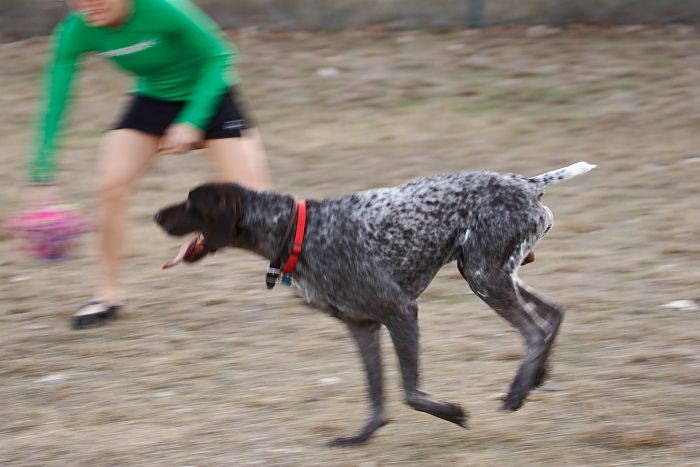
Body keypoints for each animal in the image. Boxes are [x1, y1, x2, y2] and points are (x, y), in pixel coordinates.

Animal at [154, 161, 596, 446]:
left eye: (192, 203)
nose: (155, 215)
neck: (296, 231)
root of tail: (527, 183)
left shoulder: (400, 312)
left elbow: (410, 393)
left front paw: (453, 413)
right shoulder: (362, 327)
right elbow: (377, 394)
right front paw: (363, 436)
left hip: (485, 277)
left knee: (535, 329)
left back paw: (518, 391)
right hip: (488, 272)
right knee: (553, 313)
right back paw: (535, 377)